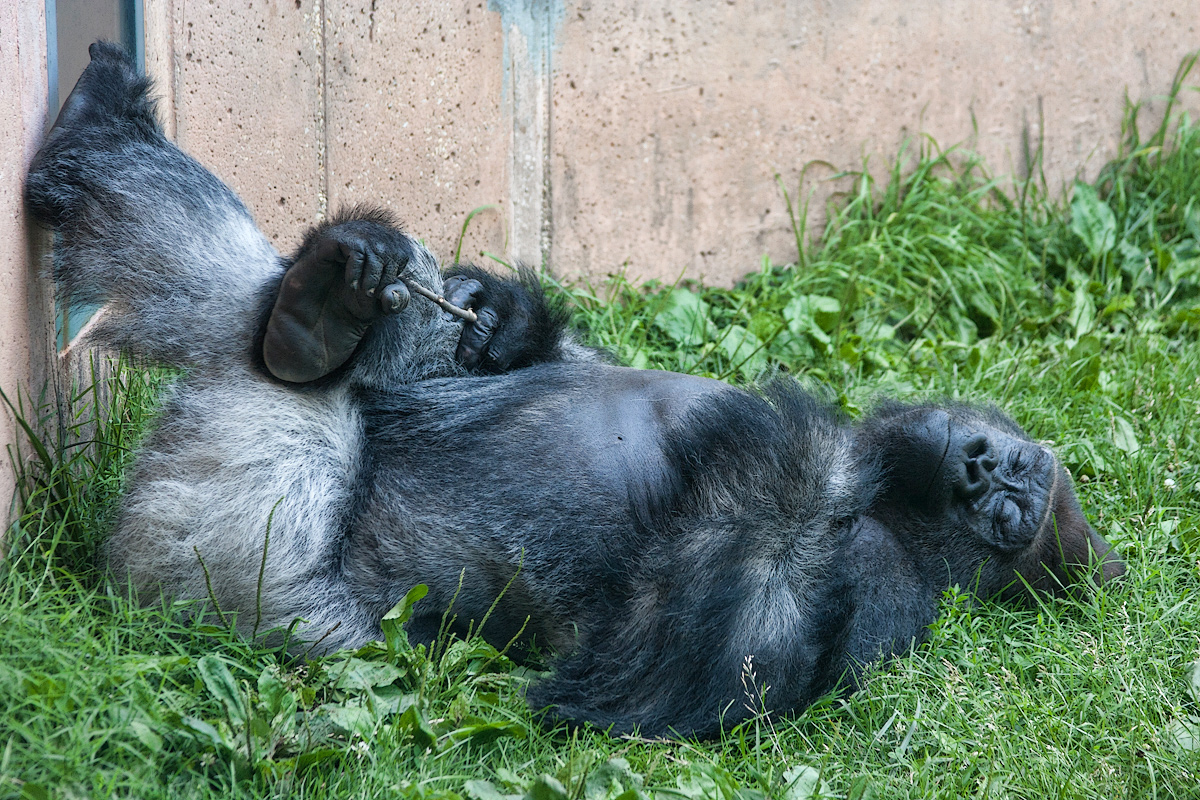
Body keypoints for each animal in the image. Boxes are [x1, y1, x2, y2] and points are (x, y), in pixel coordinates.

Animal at [21, 43, 1123, 743]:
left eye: (1010, 509)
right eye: (1010, 466)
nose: (988, 474)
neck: (889, 493)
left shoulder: (868, 582)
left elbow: (682, 657)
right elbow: (521, 355)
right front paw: (494, 315)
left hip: (235, 566)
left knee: (265, 467)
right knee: (260, 306)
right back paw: (303, 276)